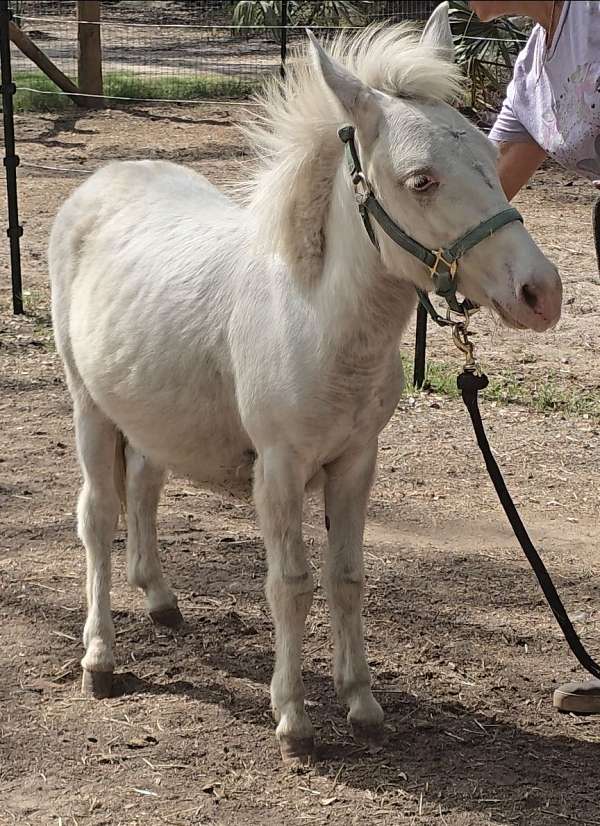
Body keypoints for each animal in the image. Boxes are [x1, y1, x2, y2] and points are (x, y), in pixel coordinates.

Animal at [49, 2, 562, 761]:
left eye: (489, 159)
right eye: (421, 180)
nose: (540, 292)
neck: (314, 316)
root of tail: (96, 184)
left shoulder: (356, 462)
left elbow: (346, 576)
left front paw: (364, 704)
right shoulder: (281, 469)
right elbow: (289, 583)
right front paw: (293, 719)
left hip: (148, 407)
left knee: (144, 483)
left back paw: (161, 600)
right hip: (89, 409)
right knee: (98, 516)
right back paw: (100, 659)